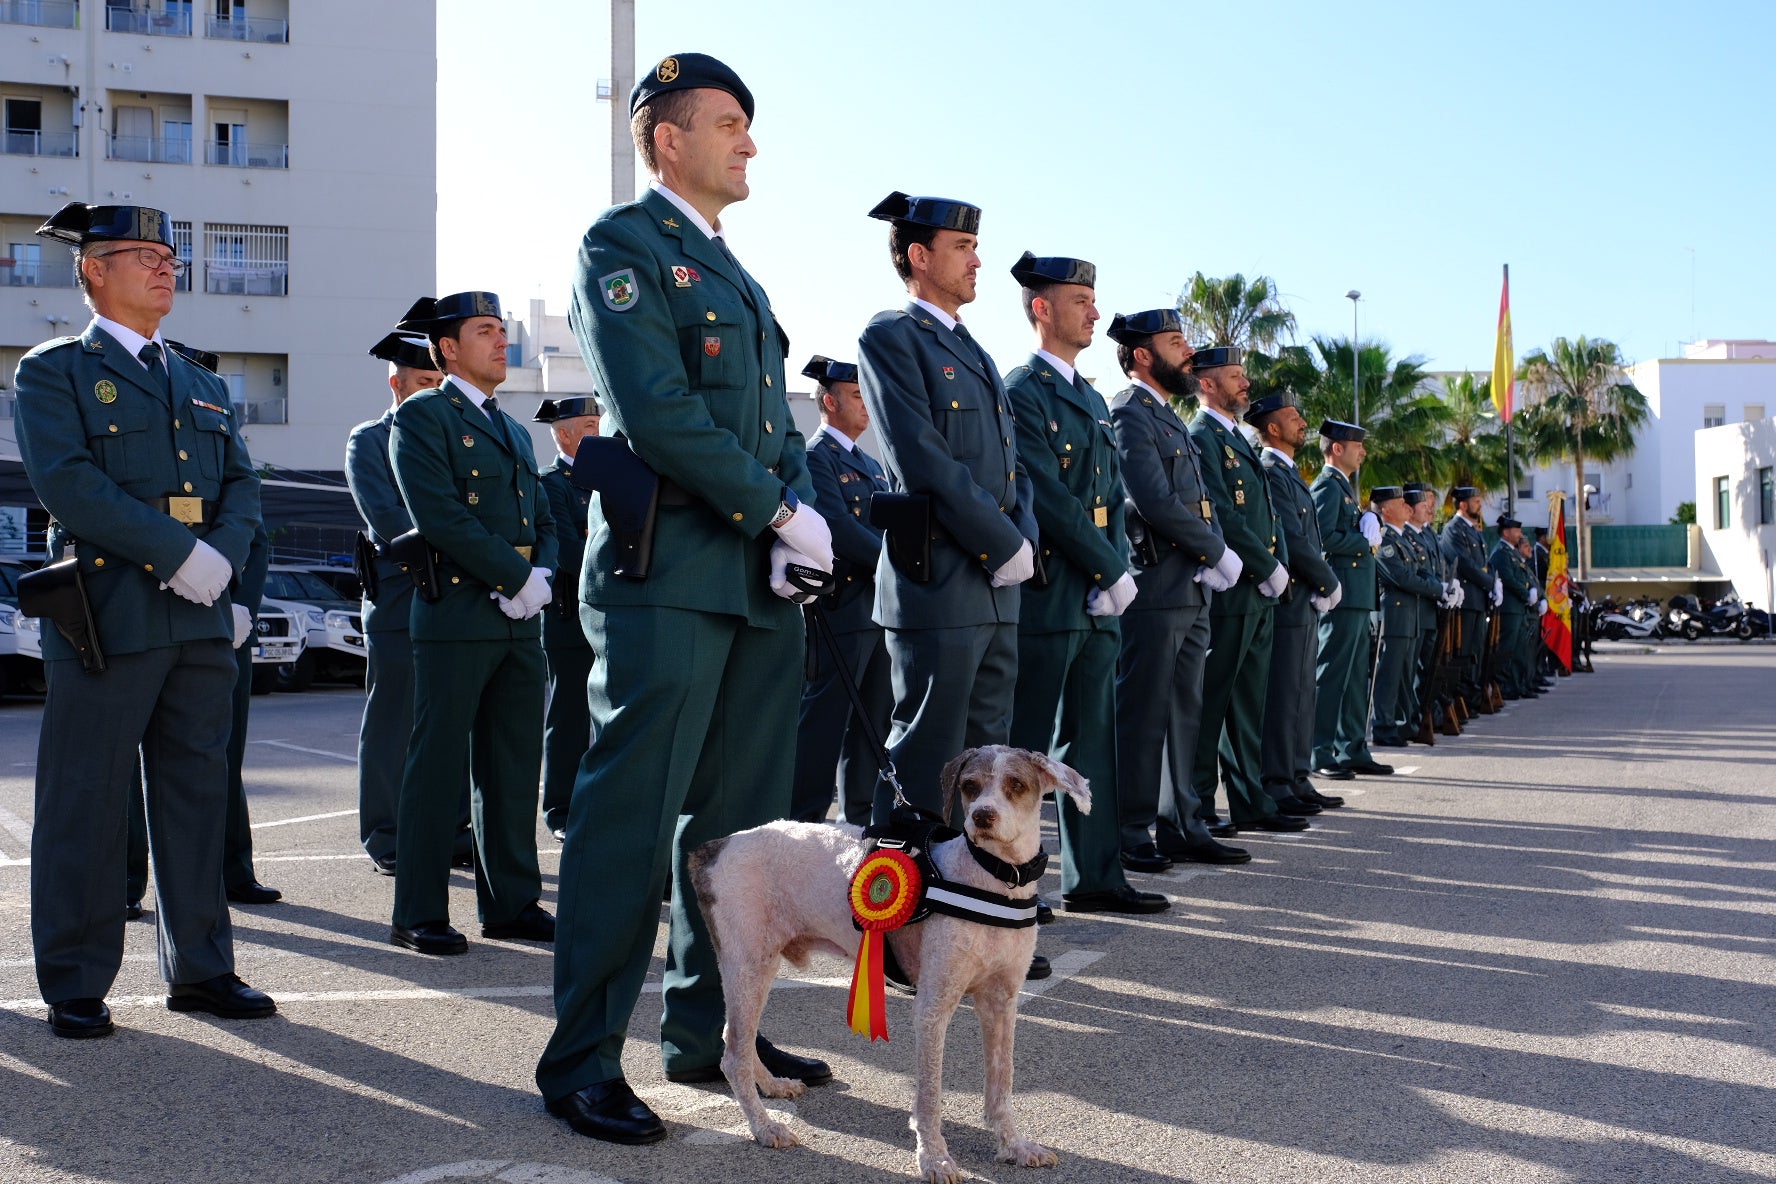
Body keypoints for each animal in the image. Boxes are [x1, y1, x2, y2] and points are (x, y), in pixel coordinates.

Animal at [689, 745, 1079, 1178]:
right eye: (970, 786)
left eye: (1017, 784)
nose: (981, 816)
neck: (989, 880)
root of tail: (716, 847)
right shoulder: (932, 1007)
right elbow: (929, 1097)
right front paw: (935, 1157)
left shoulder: (1001, 1002)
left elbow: (1001, 1086)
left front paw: (1014, 1146)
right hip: (748, 966)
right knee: (733, 1056)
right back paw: (764, 1126)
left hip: (758, 969)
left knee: (734, 1039)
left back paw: (774, 1084)